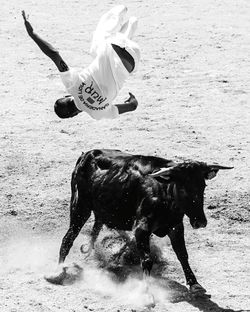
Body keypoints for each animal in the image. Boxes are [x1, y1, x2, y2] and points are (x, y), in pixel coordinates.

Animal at [57, 150, 231, 294]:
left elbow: (182, 254)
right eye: (182, 188)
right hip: (80, 206)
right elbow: (147, 260)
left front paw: (194, 283)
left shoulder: (175, 226)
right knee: (68, 238)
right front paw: (146, 293)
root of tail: (86, 155)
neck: (163, 191)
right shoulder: (142, 229)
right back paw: (57, 271)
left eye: (203, 186)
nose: (200, 222)